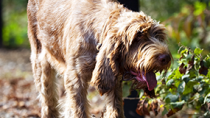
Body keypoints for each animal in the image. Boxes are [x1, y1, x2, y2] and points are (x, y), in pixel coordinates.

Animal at [27, 0, 172, 117]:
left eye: (158, 35)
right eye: (138, 37)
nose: (166, 58)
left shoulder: (112, 81)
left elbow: (116, 111)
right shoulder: (75, 79)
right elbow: (79, 111)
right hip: (40, 63)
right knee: (48, 102)